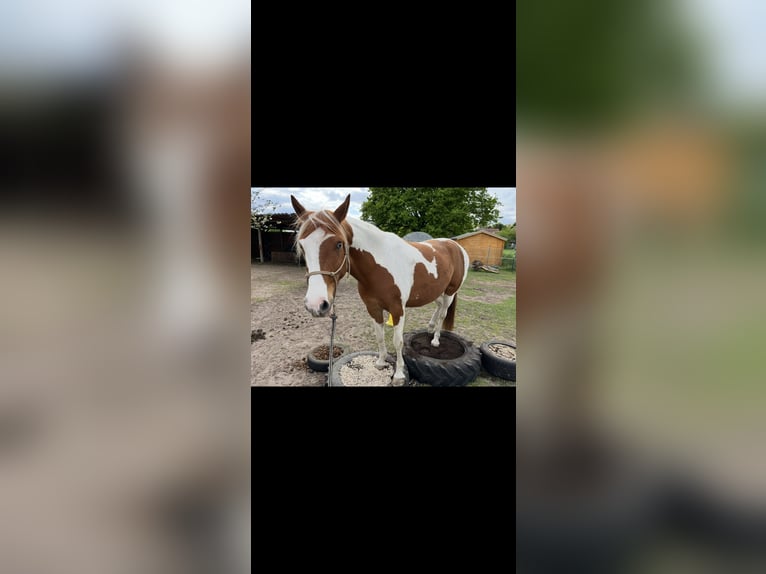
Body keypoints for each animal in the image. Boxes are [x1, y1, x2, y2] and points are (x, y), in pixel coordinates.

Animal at [291, 194, 470, 384]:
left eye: (339, 244)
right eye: (302, 246)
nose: (316, 305)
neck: (379, 267)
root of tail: (455, 246)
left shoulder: (397, 309)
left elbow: (398, 341)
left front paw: (398, 375)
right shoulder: (373, 307)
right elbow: (379, 335)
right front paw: (381, 362)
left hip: (450, 291)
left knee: (443, 313)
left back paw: (435, 339)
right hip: (437, 291)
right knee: (438, 306)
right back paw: (429, 327)